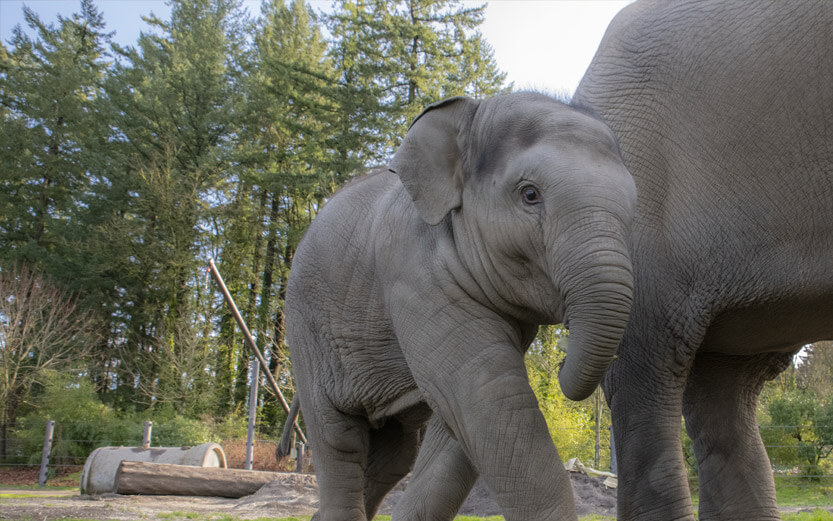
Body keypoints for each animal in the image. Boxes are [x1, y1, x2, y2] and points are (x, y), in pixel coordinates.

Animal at [284, 91, 637, 520]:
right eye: (530, 194)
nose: (561, 357)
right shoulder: (412, 271)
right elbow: (486, 393)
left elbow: (457, 423)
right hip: (306, 329)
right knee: (340, 439)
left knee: (395, 452)